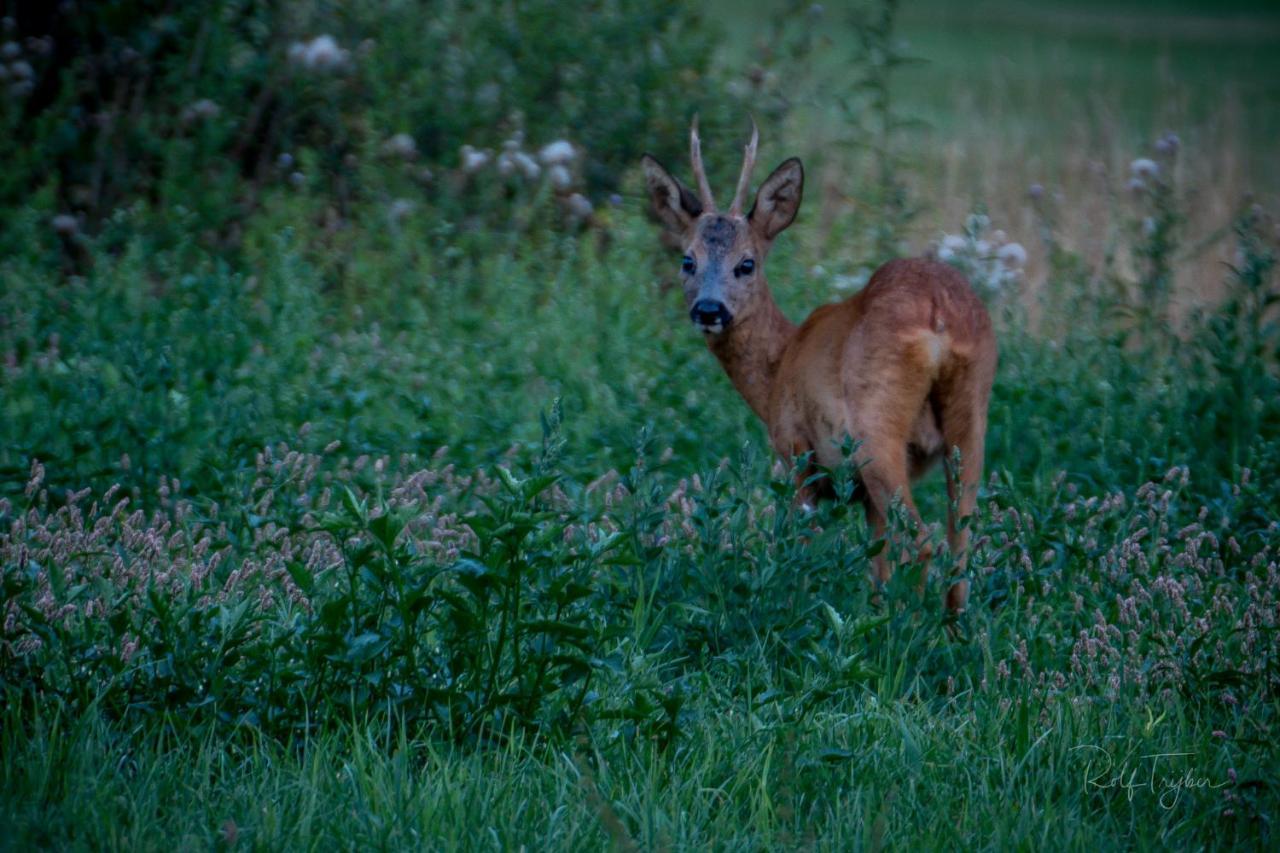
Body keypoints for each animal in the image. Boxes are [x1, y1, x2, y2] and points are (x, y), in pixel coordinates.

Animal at [640, 121, 998, 612]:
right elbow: (877, 563)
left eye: (746, 263)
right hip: (972, 412)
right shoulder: (862, 494)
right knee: (960, 546)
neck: (779, 366)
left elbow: (800, 547)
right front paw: (872, 612)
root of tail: (939, 314)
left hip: (875, 425)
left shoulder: (797, 453)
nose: (709, 309)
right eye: (687, 260)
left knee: (923, 540)